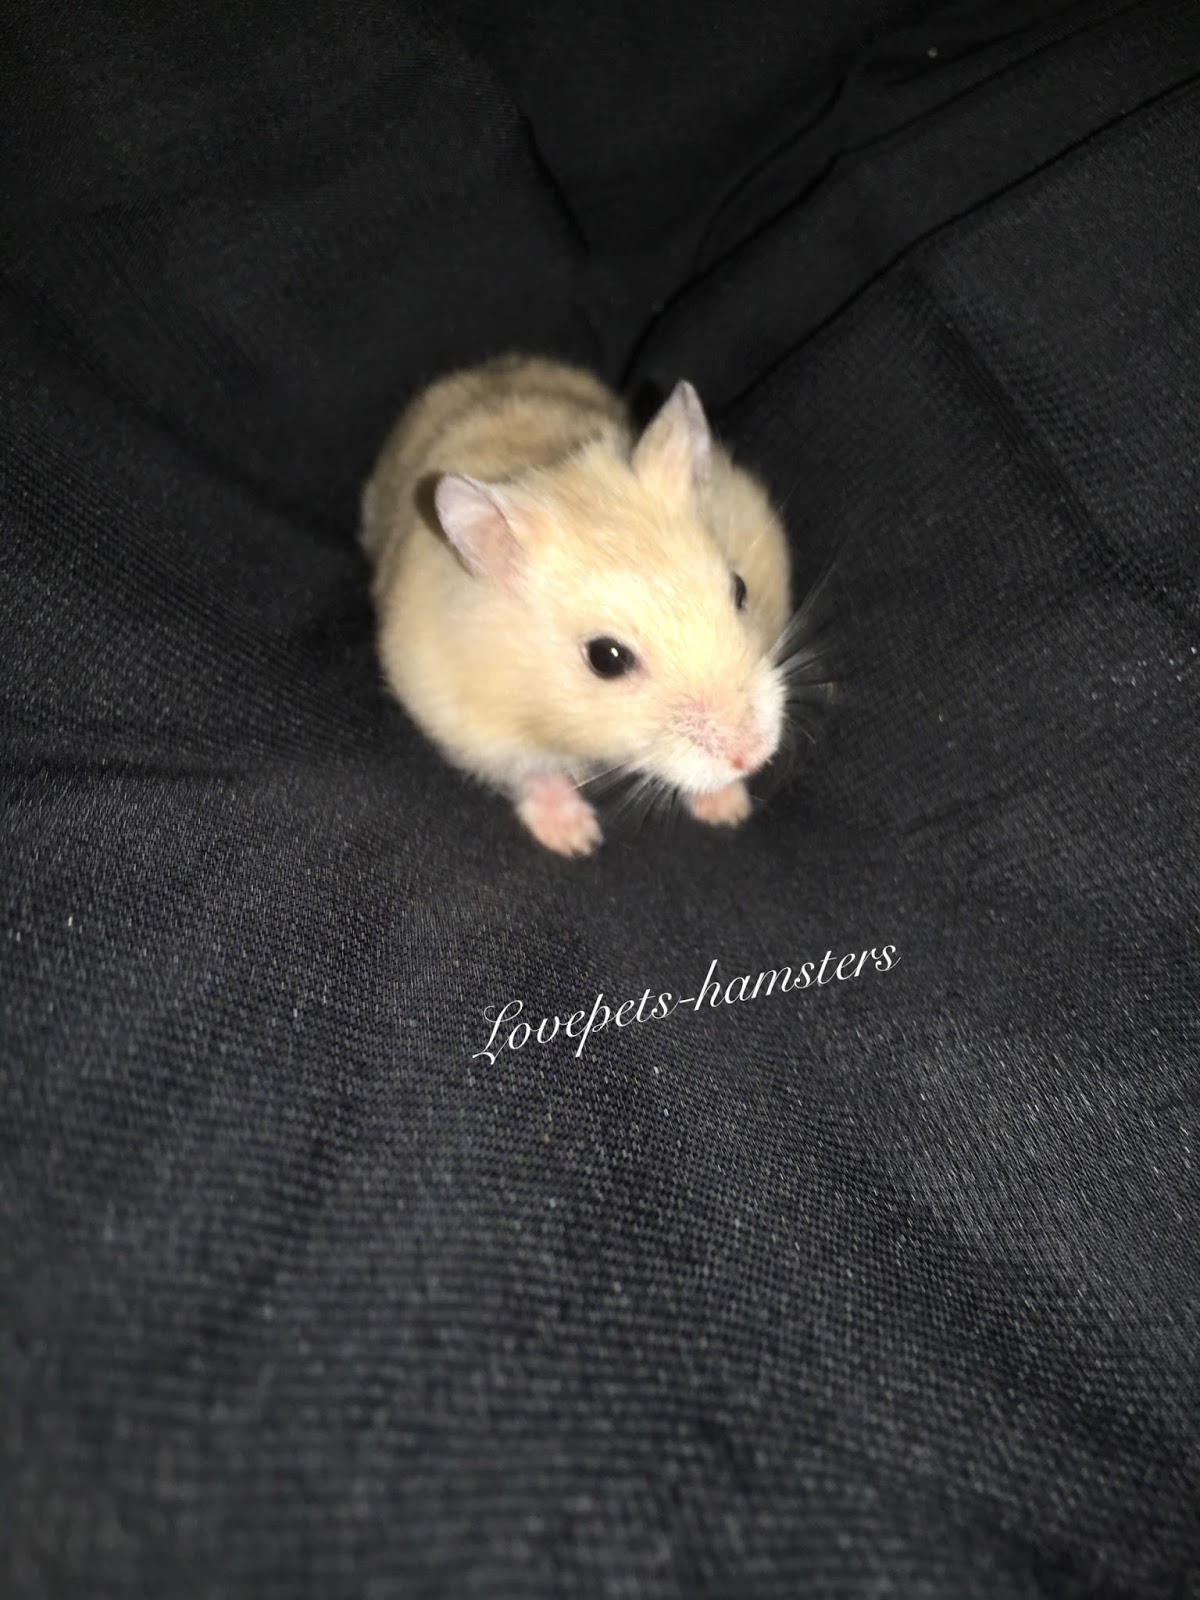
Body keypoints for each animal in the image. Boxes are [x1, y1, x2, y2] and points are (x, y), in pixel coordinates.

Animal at [359, 354, 792, 857]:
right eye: (606, 658)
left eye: (740, 590)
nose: (754, 755)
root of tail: (493, 364)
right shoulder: (470, 721)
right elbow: (533, 772)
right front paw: (578, 839)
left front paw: (728, 810)